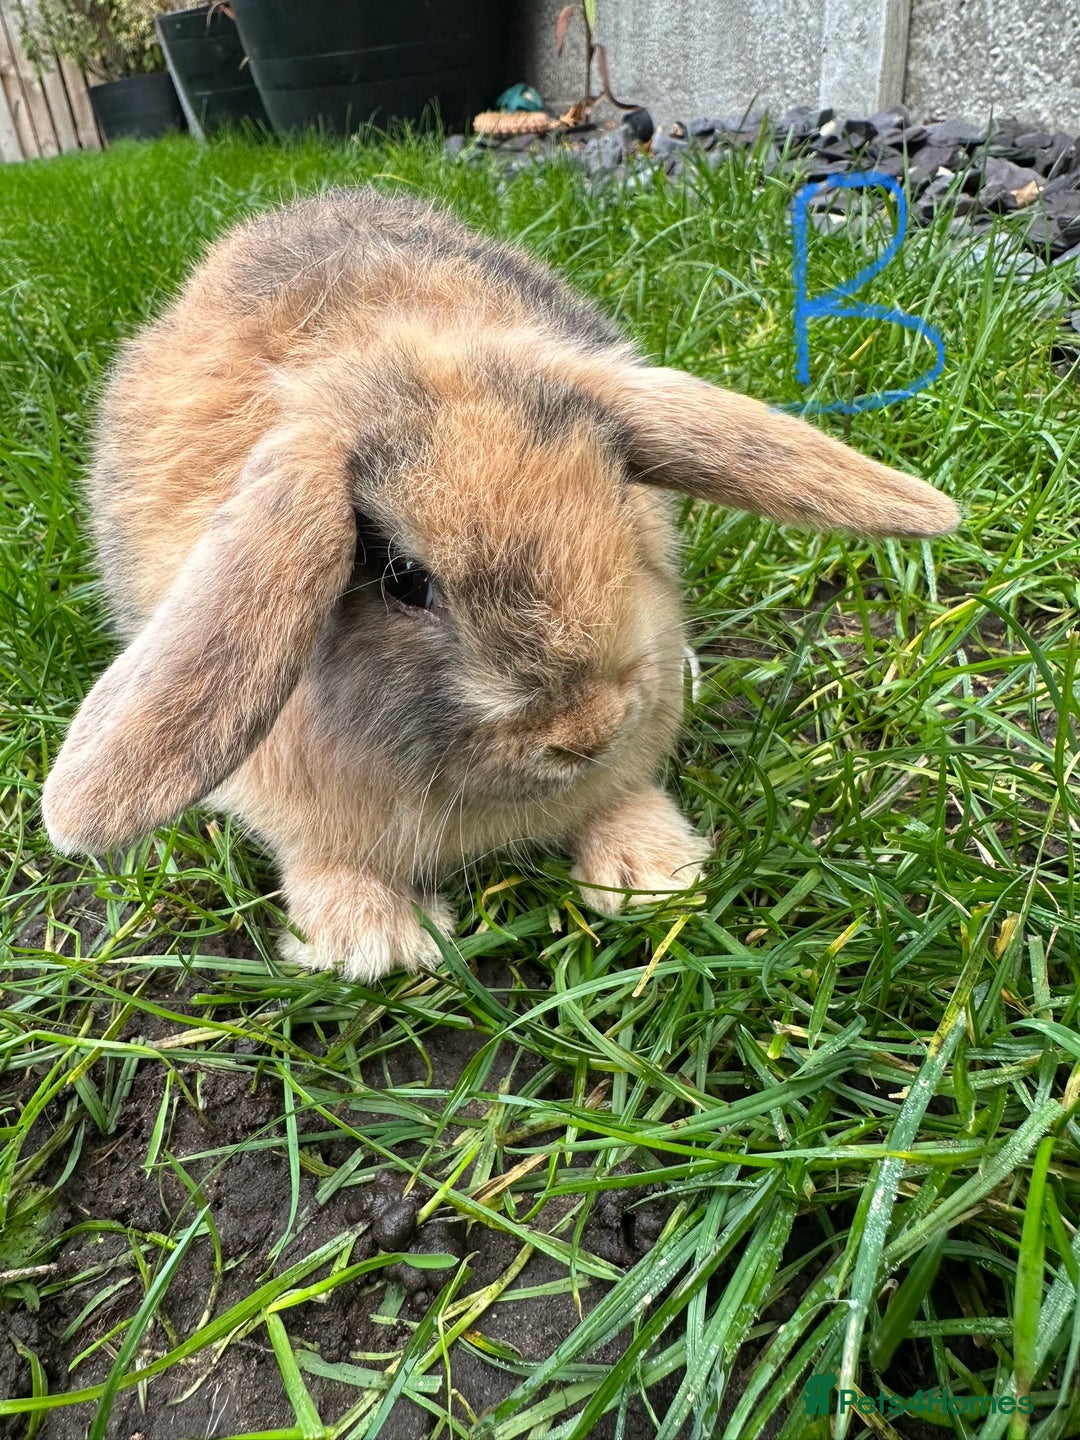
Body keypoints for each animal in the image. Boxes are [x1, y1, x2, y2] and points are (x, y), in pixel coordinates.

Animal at [42, 188, 959, 981]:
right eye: (405, 580)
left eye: (619, 499)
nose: (584, 732)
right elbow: (324, 862)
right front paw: (378, 944)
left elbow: (622, 799)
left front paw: (652, 877)